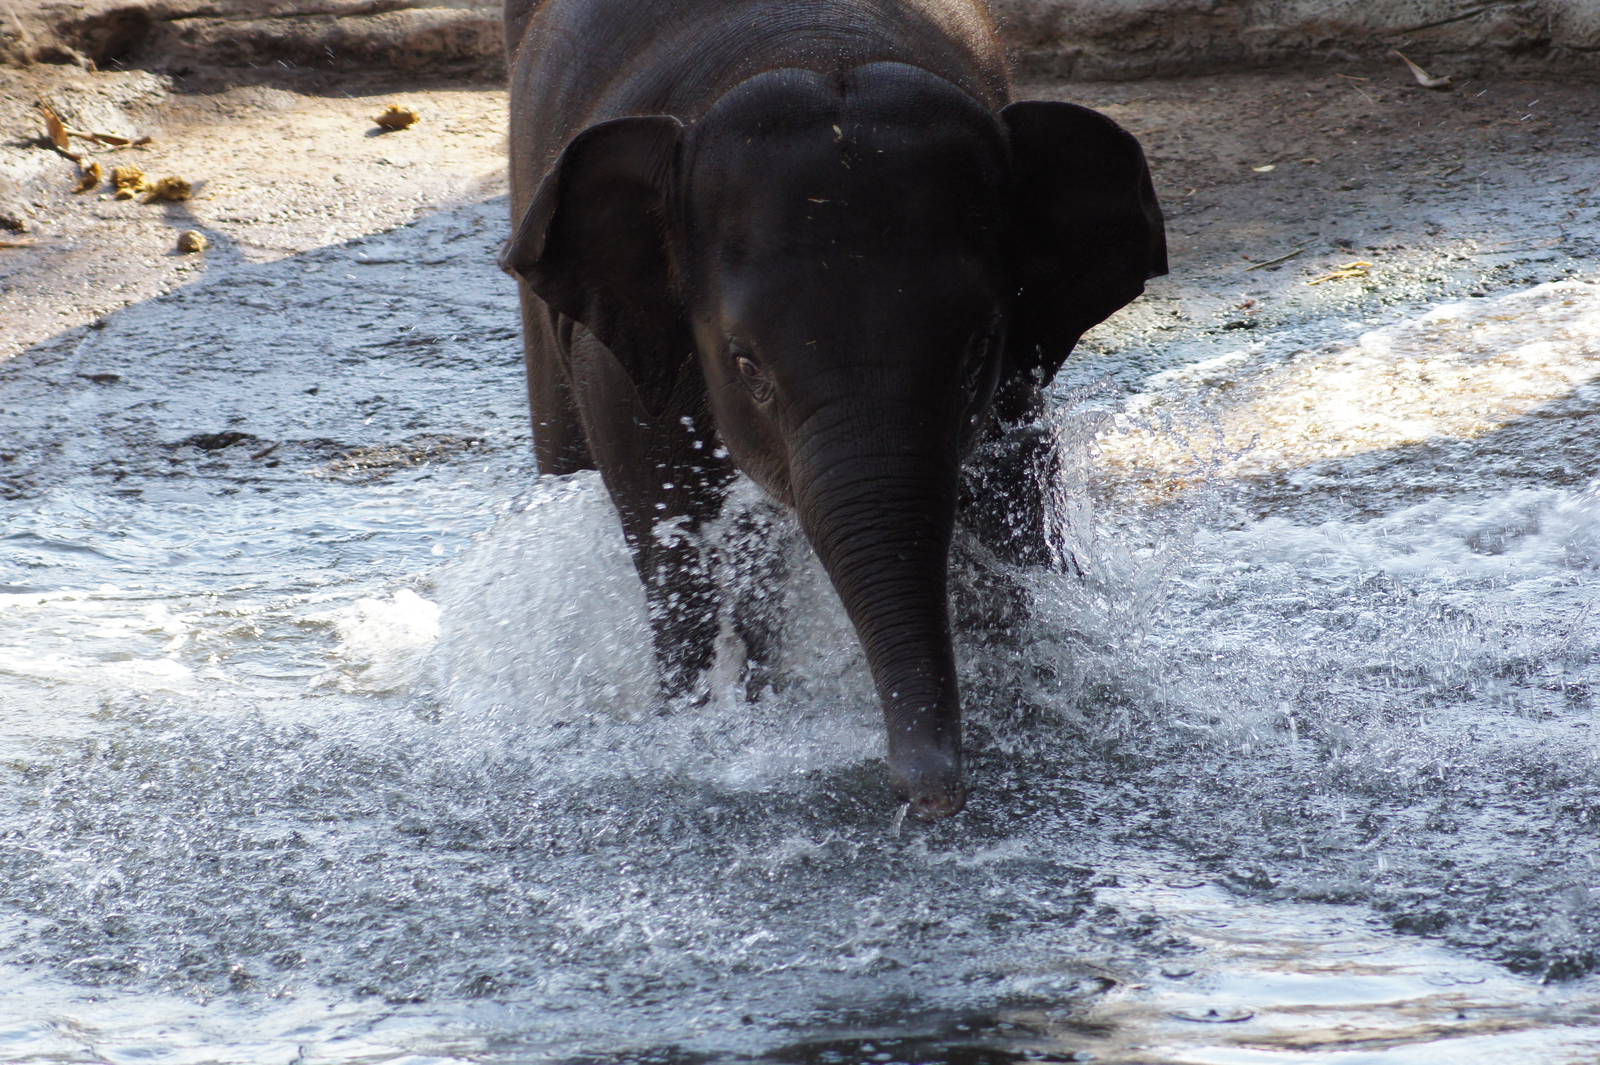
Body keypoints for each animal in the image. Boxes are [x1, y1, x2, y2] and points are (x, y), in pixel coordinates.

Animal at [501, 0, 1166, 820]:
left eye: (979, 347)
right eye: (747, 365)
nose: (931, 793)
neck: (816, 45)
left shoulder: (1016, 381)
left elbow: (1013, 516)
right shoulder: (620, 370)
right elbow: (672, 554)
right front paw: (693, 733)